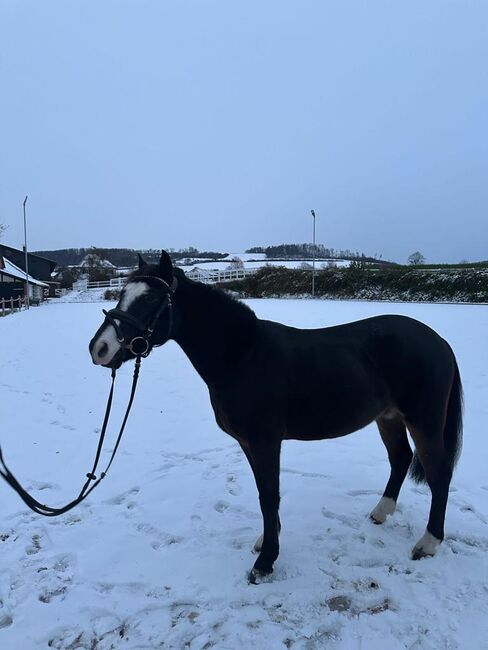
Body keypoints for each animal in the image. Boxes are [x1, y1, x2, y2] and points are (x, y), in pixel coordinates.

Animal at [89, 249, 464, 584]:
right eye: (122, 294)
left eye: (151, 300)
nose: (100, 348)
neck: (242, 356)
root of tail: (440, 342)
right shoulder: (248, 443)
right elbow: (263, 494)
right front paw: (266, 543)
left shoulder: (265, 441)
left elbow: (269, 496)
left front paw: (265, 562)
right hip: (388, 417)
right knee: (400, 458)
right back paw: (381, 513)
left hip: (424, 421)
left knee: (439, 472)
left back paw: (429, 542)